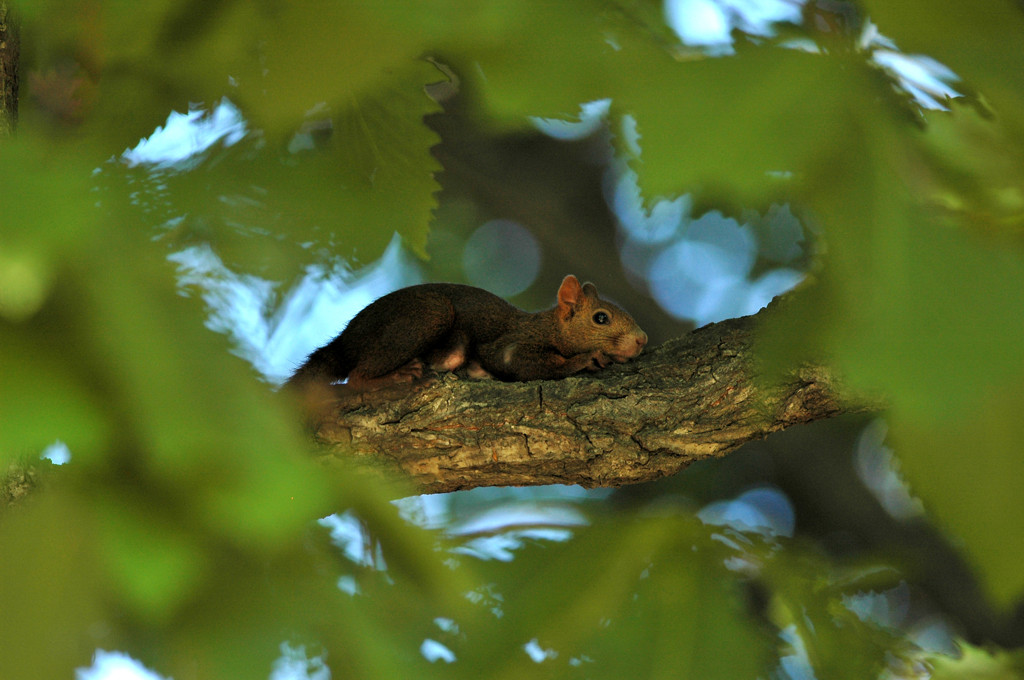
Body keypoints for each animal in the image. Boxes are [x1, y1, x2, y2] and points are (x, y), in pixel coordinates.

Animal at [286, 274, 647, 395]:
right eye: (601, 318)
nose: (642, 340)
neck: (548, 325)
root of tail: (347, 339)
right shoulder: (511, 345)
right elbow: (530, 365)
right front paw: (587, 358)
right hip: (429, 313)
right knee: (356, 378)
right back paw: (399, 375)